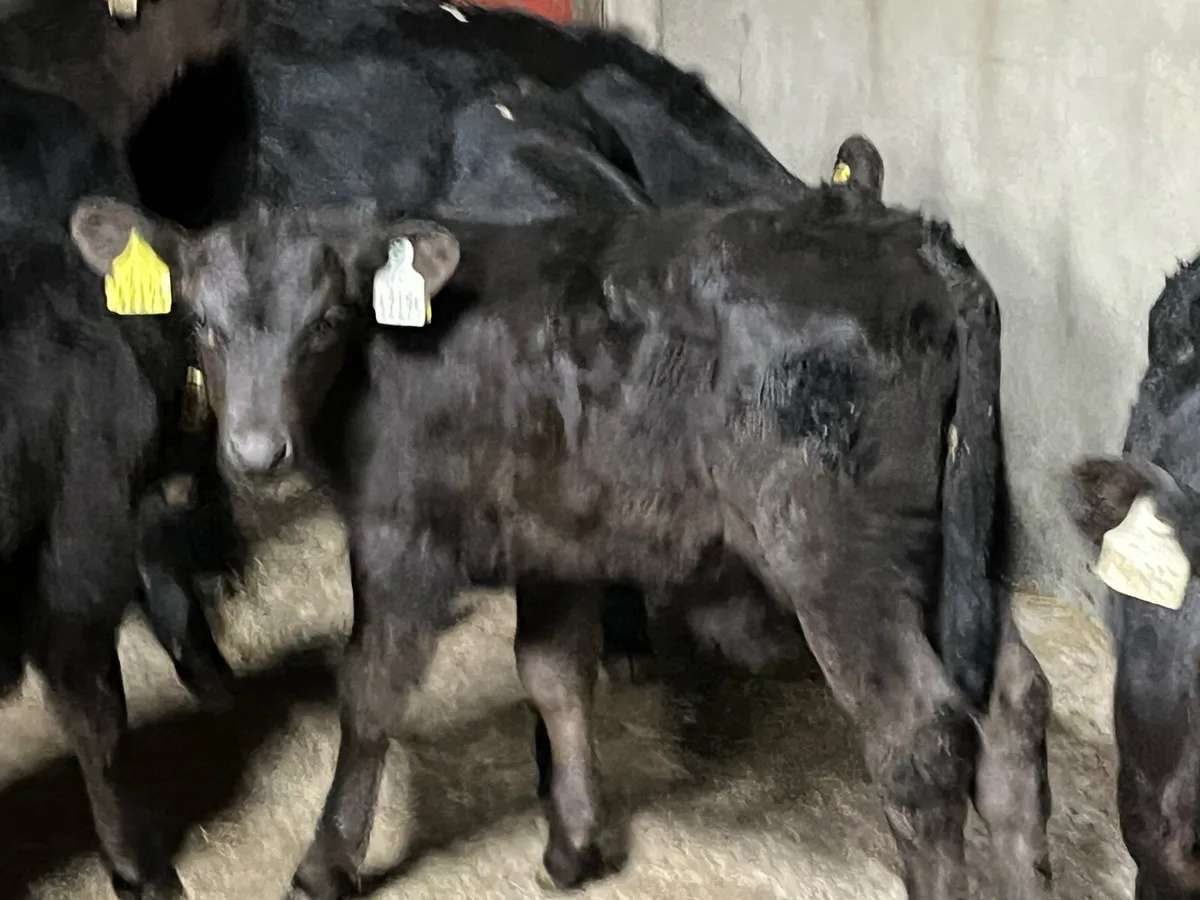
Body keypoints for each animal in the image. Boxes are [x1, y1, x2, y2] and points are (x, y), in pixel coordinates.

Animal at [68, 169, 1050, 899]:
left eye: (326, 323)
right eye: (199, 322)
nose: (254, 449)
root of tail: (902, 232)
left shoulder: (398, 532)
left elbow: (371, 690)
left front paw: (326, 861)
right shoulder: (555, 531)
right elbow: (552, 675)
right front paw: (574, 843)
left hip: (832, 546)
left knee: (920, 731)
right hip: (942, 547)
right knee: (1013, 698)